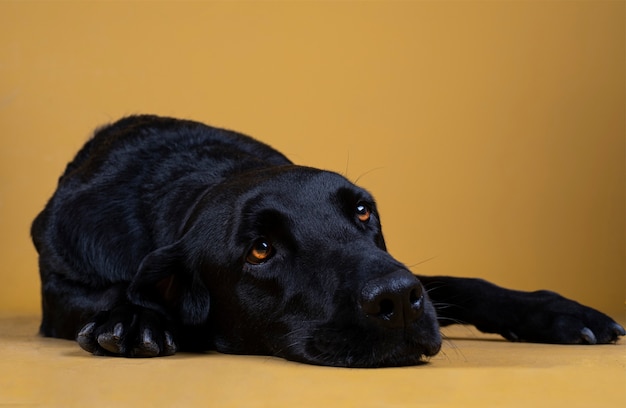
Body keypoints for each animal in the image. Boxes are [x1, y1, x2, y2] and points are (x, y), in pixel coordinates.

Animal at [30, 115, 624, 366]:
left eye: (363, 212)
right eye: (260, 249)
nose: (398, 301)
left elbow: (457, 282)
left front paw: (562, 313)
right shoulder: (63, 288)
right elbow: (115, 294)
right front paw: (134, 320)